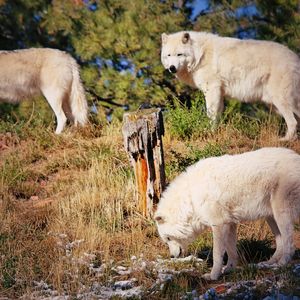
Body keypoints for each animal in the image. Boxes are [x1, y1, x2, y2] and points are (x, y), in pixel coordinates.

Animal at [155, 148, 300, 282]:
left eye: (168, 238)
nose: (172, 257)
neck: (190, 198)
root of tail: (296, 157)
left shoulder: (219, 224)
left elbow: (217, 254)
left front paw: (213, 276)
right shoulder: (230, 223)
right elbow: (231, 251)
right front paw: (229, 269)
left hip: (281, 214)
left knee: (289, 244)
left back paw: (281, 264)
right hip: (271, 217)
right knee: (280, 242)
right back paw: (268, 263)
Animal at [162, 31, 300, 141]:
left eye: (179, 54)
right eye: (168, 55)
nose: (172, 68)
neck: (200, 55)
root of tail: (295, 57)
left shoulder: (212, 90)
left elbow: (211, 114)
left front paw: (209, 132)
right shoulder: (219, 93)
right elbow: (217, 114)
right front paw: (216, 132)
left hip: (281, 100)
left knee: (292, 122)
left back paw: (285, 140)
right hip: (275, 104)